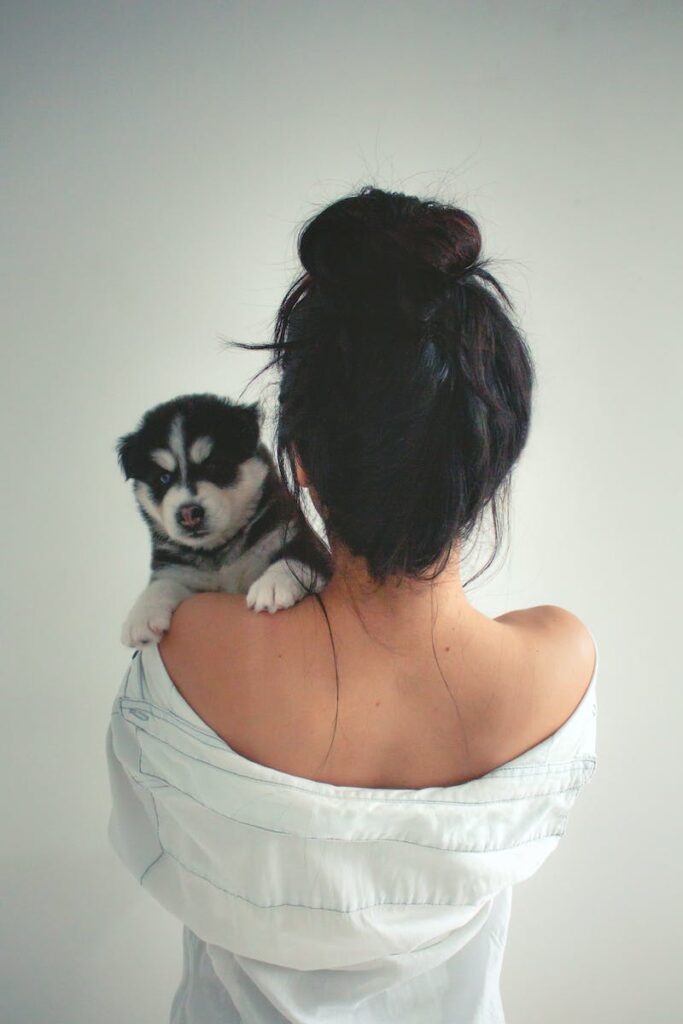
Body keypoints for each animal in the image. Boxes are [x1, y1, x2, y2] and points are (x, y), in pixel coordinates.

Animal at [115, 391, 333, 647]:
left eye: (214, 465)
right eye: (163, 478)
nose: (188, 513)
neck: (219, 550)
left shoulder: (303, 543)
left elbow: (295, 559)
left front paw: (273, 584)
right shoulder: (181, 573)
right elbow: (162, 583)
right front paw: (141, 615)